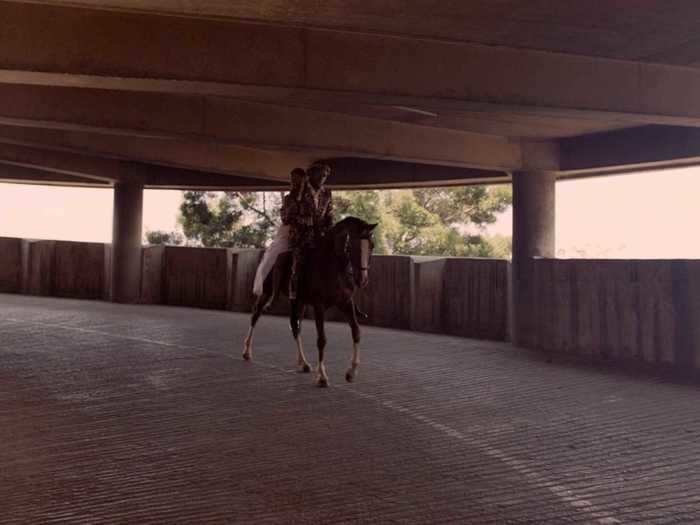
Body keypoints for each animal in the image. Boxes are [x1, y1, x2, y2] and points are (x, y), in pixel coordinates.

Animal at [245, 216, 380, 384]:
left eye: (372, 246)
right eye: (353, 246)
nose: (362, 280)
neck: (331, 266)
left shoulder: (346, 303)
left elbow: (356, 331)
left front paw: (351, 372)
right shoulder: (318, 306)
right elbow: (321, 339)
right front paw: (322, 376)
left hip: (299, 302)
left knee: (295, 326)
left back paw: (303, 363)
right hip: (266, 292)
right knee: (255, 315)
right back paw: (247, 352)